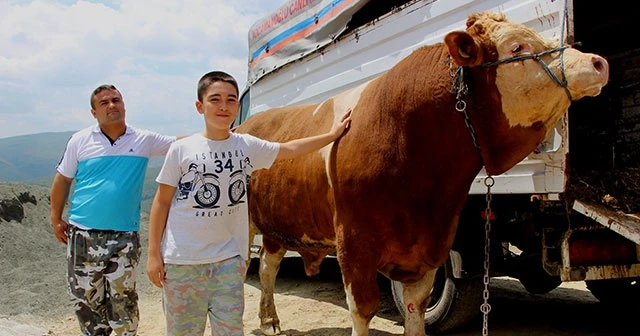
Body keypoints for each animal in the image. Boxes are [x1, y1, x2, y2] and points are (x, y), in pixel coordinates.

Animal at [236, 11, 608, 336]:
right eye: (517, 47)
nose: (598, 62)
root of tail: (246, 123)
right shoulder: (354, 243)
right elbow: (363, 308)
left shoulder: (430, 244)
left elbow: (417, 306)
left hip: (276, 224)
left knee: (268, 267)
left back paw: (269, 320)